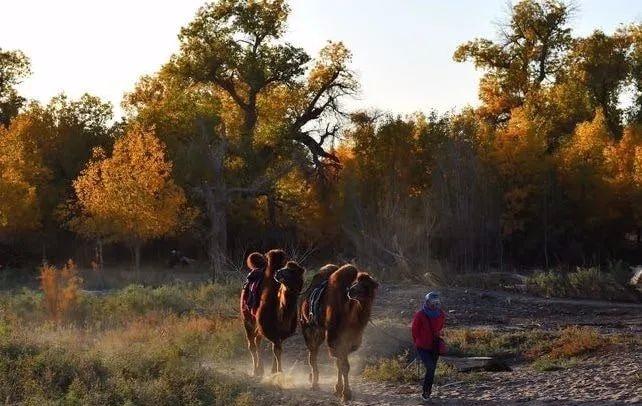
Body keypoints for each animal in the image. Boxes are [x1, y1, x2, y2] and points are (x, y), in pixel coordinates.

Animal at [298, 264, 376, 400]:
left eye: (366, 285)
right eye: (355, 282)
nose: (351, 291)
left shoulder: (350, 339)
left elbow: (340, 363)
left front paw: (339, 389)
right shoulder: (334, 337)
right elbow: (343, 365)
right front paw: (346, 393)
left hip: (320, 331)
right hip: (307, 326)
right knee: (312, 355)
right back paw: (314, 384)